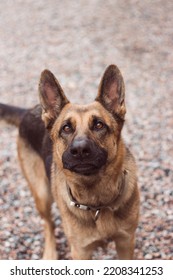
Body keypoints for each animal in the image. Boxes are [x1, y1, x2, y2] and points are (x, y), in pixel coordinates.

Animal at [0, 64, 140, 260]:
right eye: (66, 128)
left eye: (99, 125)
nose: (80, 150)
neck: (97, 202)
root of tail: (29, 110)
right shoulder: (81, 251)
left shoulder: (126, 243)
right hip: (42, 195)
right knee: (48, 224)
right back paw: (50, 253)